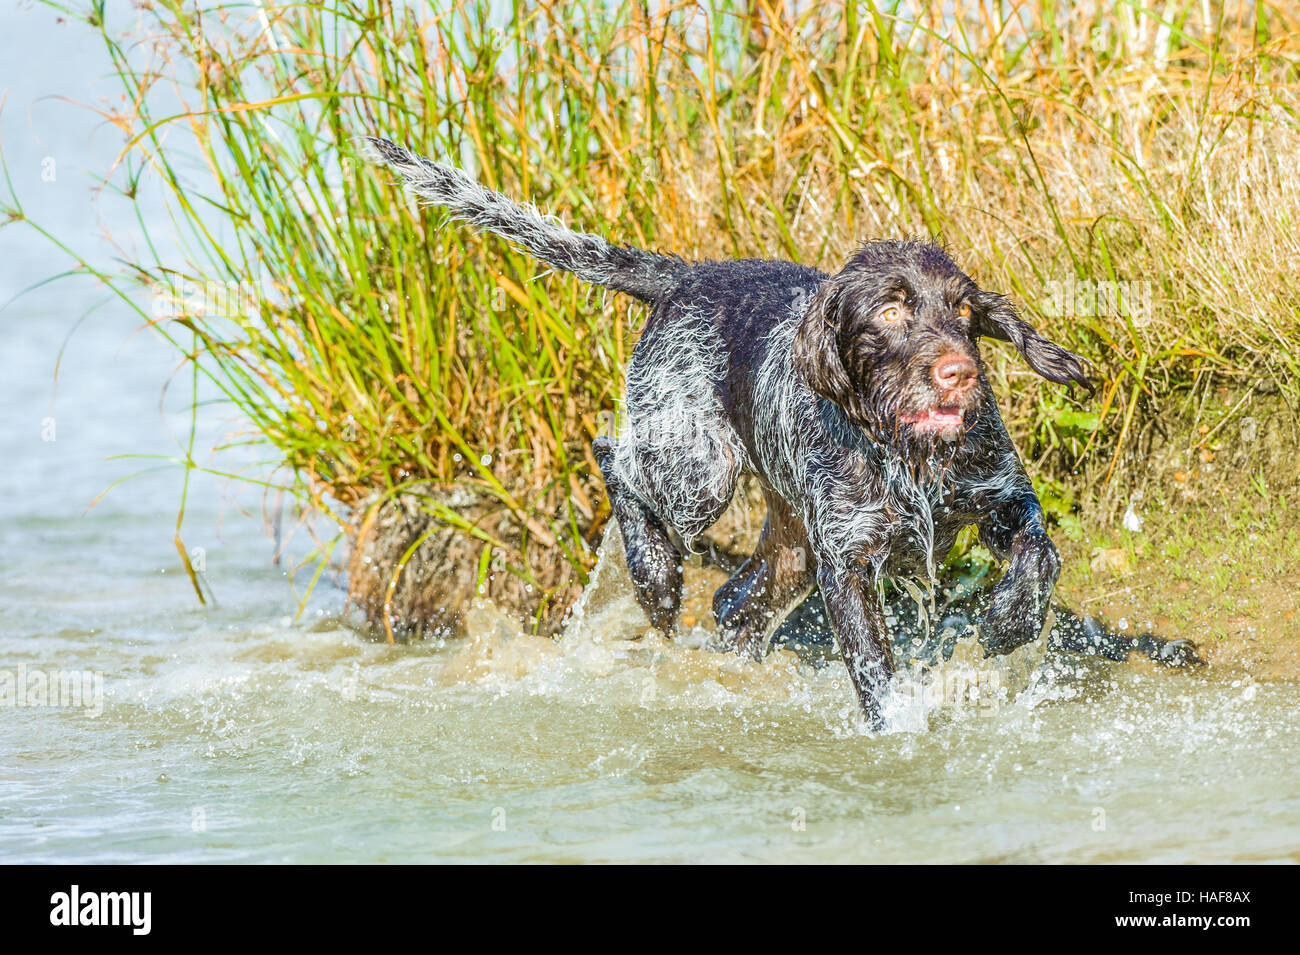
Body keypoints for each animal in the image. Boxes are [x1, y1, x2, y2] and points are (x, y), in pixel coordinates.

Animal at [366, 138, 1138, 727]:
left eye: (963, 310)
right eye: (890, 313)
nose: (959, 372)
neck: (903, 456)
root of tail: (683, 277)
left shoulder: (1000, 499)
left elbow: (1040, 557)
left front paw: (1009, 622)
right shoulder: (847, 565)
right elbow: (873, 668)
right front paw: (896, 732)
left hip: (788, 543)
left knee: (734, 602)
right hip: (697, 472)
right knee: (614, 457)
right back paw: (654, 576)